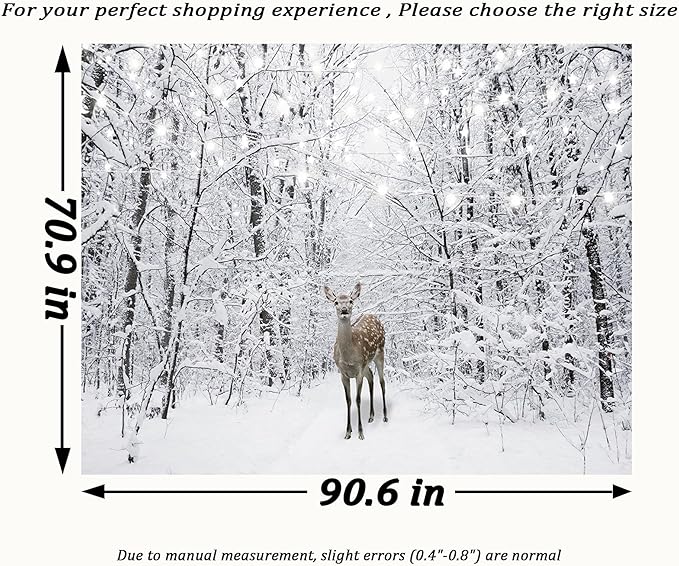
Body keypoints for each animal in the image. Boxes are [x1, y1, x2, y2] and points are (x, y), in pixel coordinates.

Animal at [324, 282, 387, 440]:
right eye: (336, 302)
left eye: (351, 301)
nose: (344, 310)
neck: (348, 356)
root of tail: (373, 316)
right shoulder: (343, 373)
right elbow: (348, 400)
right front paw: (348, 432)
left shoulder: (358, 371)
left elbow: (358, 399)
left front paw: (360, 432)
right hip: (366, 363)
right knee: (371, 376)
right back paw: (371, 416)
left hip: (380, 352)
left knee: (382, 381)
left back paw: (384, 416)